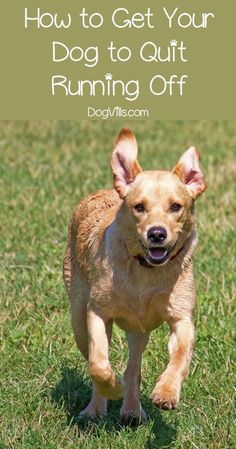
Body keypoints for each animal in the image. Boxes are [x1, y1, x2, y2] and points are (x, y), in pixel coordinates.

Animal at [62, 128, 206, 422]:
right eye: (139, 207)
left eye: (176, 207)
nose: (157, 234)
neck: (144, 272)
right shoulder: (97, 312)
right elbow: (98, 363)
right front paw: (111, 388)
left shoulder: (181, 316)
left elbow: (180, 355)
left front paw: (166, 392)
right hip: (78, 313)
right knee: (92, 355)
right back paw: (96, 410)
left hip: (138, 331)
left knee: (134, 368)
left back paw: (131, 409)